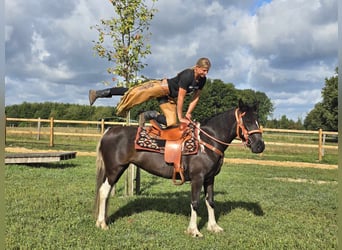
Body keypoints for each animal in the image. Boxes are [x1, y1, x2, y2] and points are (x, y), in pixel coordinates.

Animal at [95, 99, 266, 236]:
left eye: (257, 120)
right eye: (246, 120)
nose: (260, 146)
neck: (207, 142)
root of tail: (110, 130)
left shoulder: (210, 179)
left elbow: (210, 201)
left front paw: (214, 227)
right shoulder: (197, 178)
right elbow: (195, 202)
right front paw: (194, 231)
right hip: (114, 169)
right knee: (104, 192)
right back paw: (102, 224)